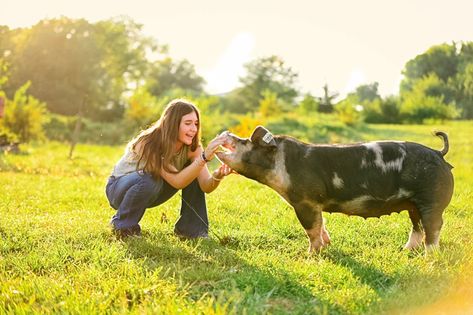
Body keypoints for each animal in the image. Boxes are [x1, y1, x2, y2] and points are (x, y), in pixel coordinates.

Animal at [218, 127, 454, 253]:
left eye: (245, 141)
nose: (226, 132)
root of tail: (438, 153)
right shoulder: (316, 203)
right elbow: (322, 223)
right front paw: (327, 245)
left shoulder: (305, 201)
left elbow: (311, 228)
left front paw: (311, 254)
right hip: (413, 203)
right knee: (417, 227)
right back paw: (404, 251)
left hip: (431, 198)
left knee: (433, 228)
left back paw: (429, 255)